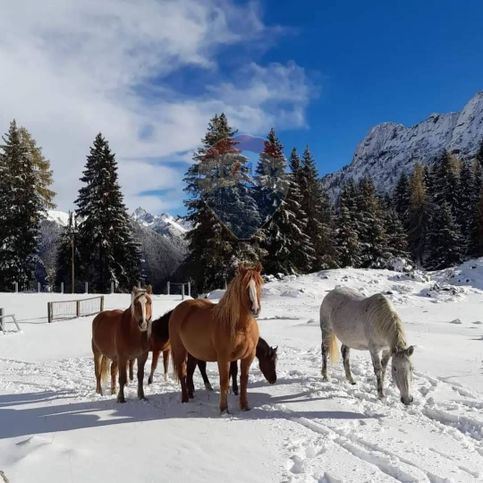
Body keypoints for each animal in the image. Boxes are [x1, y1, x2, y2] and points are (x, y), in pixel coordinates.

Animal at [168, 262, 262, 414]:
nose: (255, 309)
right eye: (244, 286)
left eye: (260, 283)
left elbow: (243, 380)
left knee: (190, 371)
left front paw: (245, 406)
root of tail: (178, 309)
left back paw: (191, 394)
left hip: (193, 352)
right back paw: (185, 399)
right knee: (183, 373)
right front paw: (224, 409)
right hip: (179, 350)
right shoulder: (223, 358)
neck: (240, 327)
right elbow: (224, 381)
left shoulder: (248, 356)